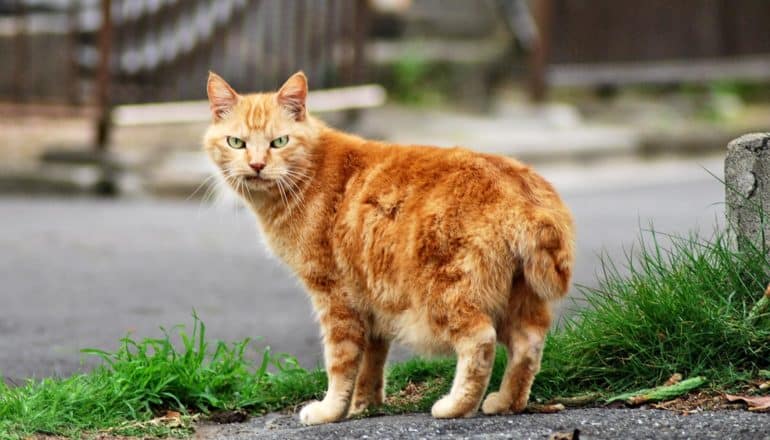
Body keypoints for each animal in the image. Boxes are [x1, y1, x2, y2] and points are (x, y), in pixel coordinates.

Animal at [201, 73, 572, 426]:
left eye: (279, 142)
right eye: (237, 143)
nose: (257, 165)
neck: (308, 175)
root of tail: (522, 191)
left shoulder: (334, 296)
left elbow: (340, 362)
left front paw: (330, 411)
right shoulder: (372, 299)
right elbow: (372, 360)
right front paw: (363, 406)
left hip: (446, 294)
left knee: (480, 340)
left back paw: (456, 406)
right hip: (519, 296)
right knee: (528, 345)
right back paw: (507, 402)